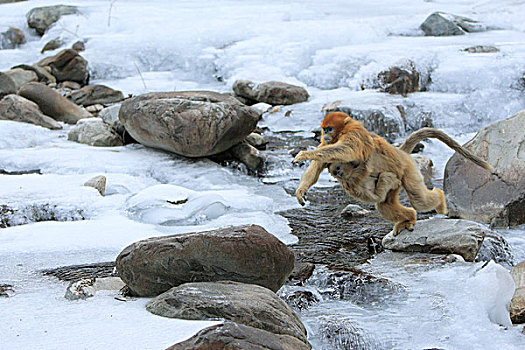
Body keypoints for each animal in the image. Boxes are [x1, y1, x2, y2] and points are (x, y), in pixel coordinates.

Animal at [292, 113, 494, 235]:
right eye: (324, 129)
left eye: (329, 129)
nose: (325, 135)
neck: (343, 131)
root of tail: (401, 153)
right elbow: (319, 164)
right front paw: (301, 191)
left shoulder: (354, 135)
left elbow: (346, 150)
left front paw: (304, 154)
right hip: (395, 179)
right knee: (386, 204)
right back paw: (409, 217)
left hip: (407, 170)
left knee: (418, 199)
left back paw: (440, 200)